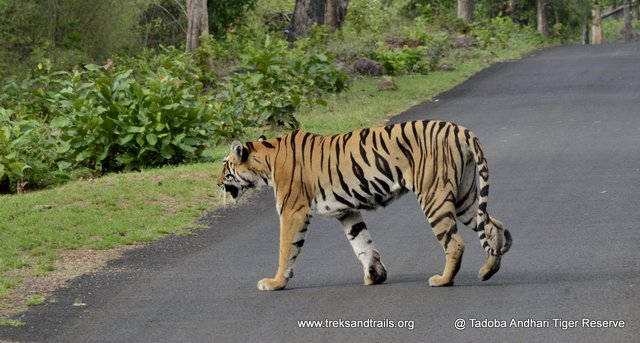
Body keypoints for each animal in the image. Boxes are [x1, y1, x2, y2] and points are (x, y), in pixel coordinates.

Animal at [218, 119, 512, 292]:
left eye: (225, 167)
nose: (218, 183)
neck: (266, 161)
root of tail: (460, 129)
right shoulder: (347, 211)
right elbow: (362, 244)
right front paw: (375, 276)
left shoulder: (292, 212)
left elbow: (285, 249)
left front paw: (275, 282)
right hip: (464, 196)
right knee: (493, 226)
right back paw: (488, 271)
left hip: (434, 196)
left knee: (455, 242)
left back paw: (443, 280)